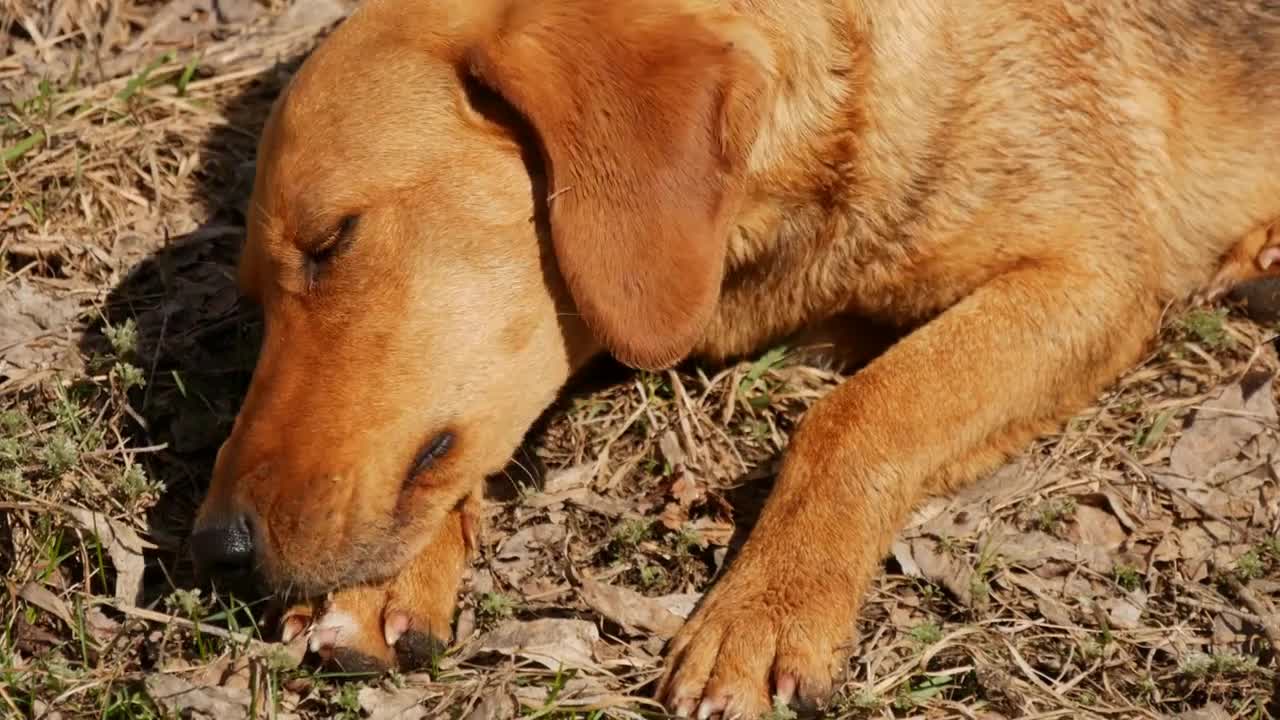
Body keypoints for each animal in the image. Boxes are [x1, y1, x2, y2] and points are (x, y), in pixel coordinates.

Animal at [189, 0, 1280, 712]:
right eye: (249, 301)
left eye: (332, 240)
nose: (214, 550)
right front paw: (384, 582)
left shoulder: (1089, 274)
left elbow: (856, 413)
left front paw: (764, 609)